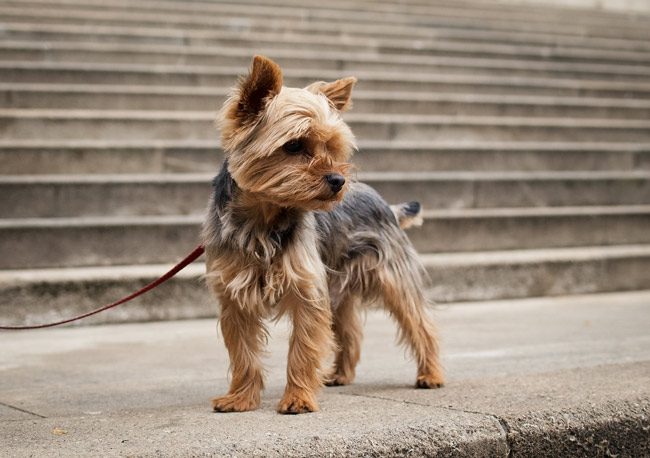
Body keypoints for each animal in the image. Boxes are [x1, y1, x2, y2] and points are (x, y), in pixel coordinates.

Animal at [201, 55, 440, 414]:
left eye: (332, 146)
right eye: (294, 145)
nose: (338, 180)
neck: (264, 219)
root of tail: (385, 203)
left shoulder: (307, 289)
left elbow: (303, 348)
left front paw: (298, 398)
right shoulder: (234, 295)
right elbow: (243, 351)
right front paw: (240, 398)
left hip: (393, 273)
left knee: (419, 322)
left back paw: (431, 374)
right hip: (340, 285)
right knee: (350, 331)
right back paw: (341, 374)